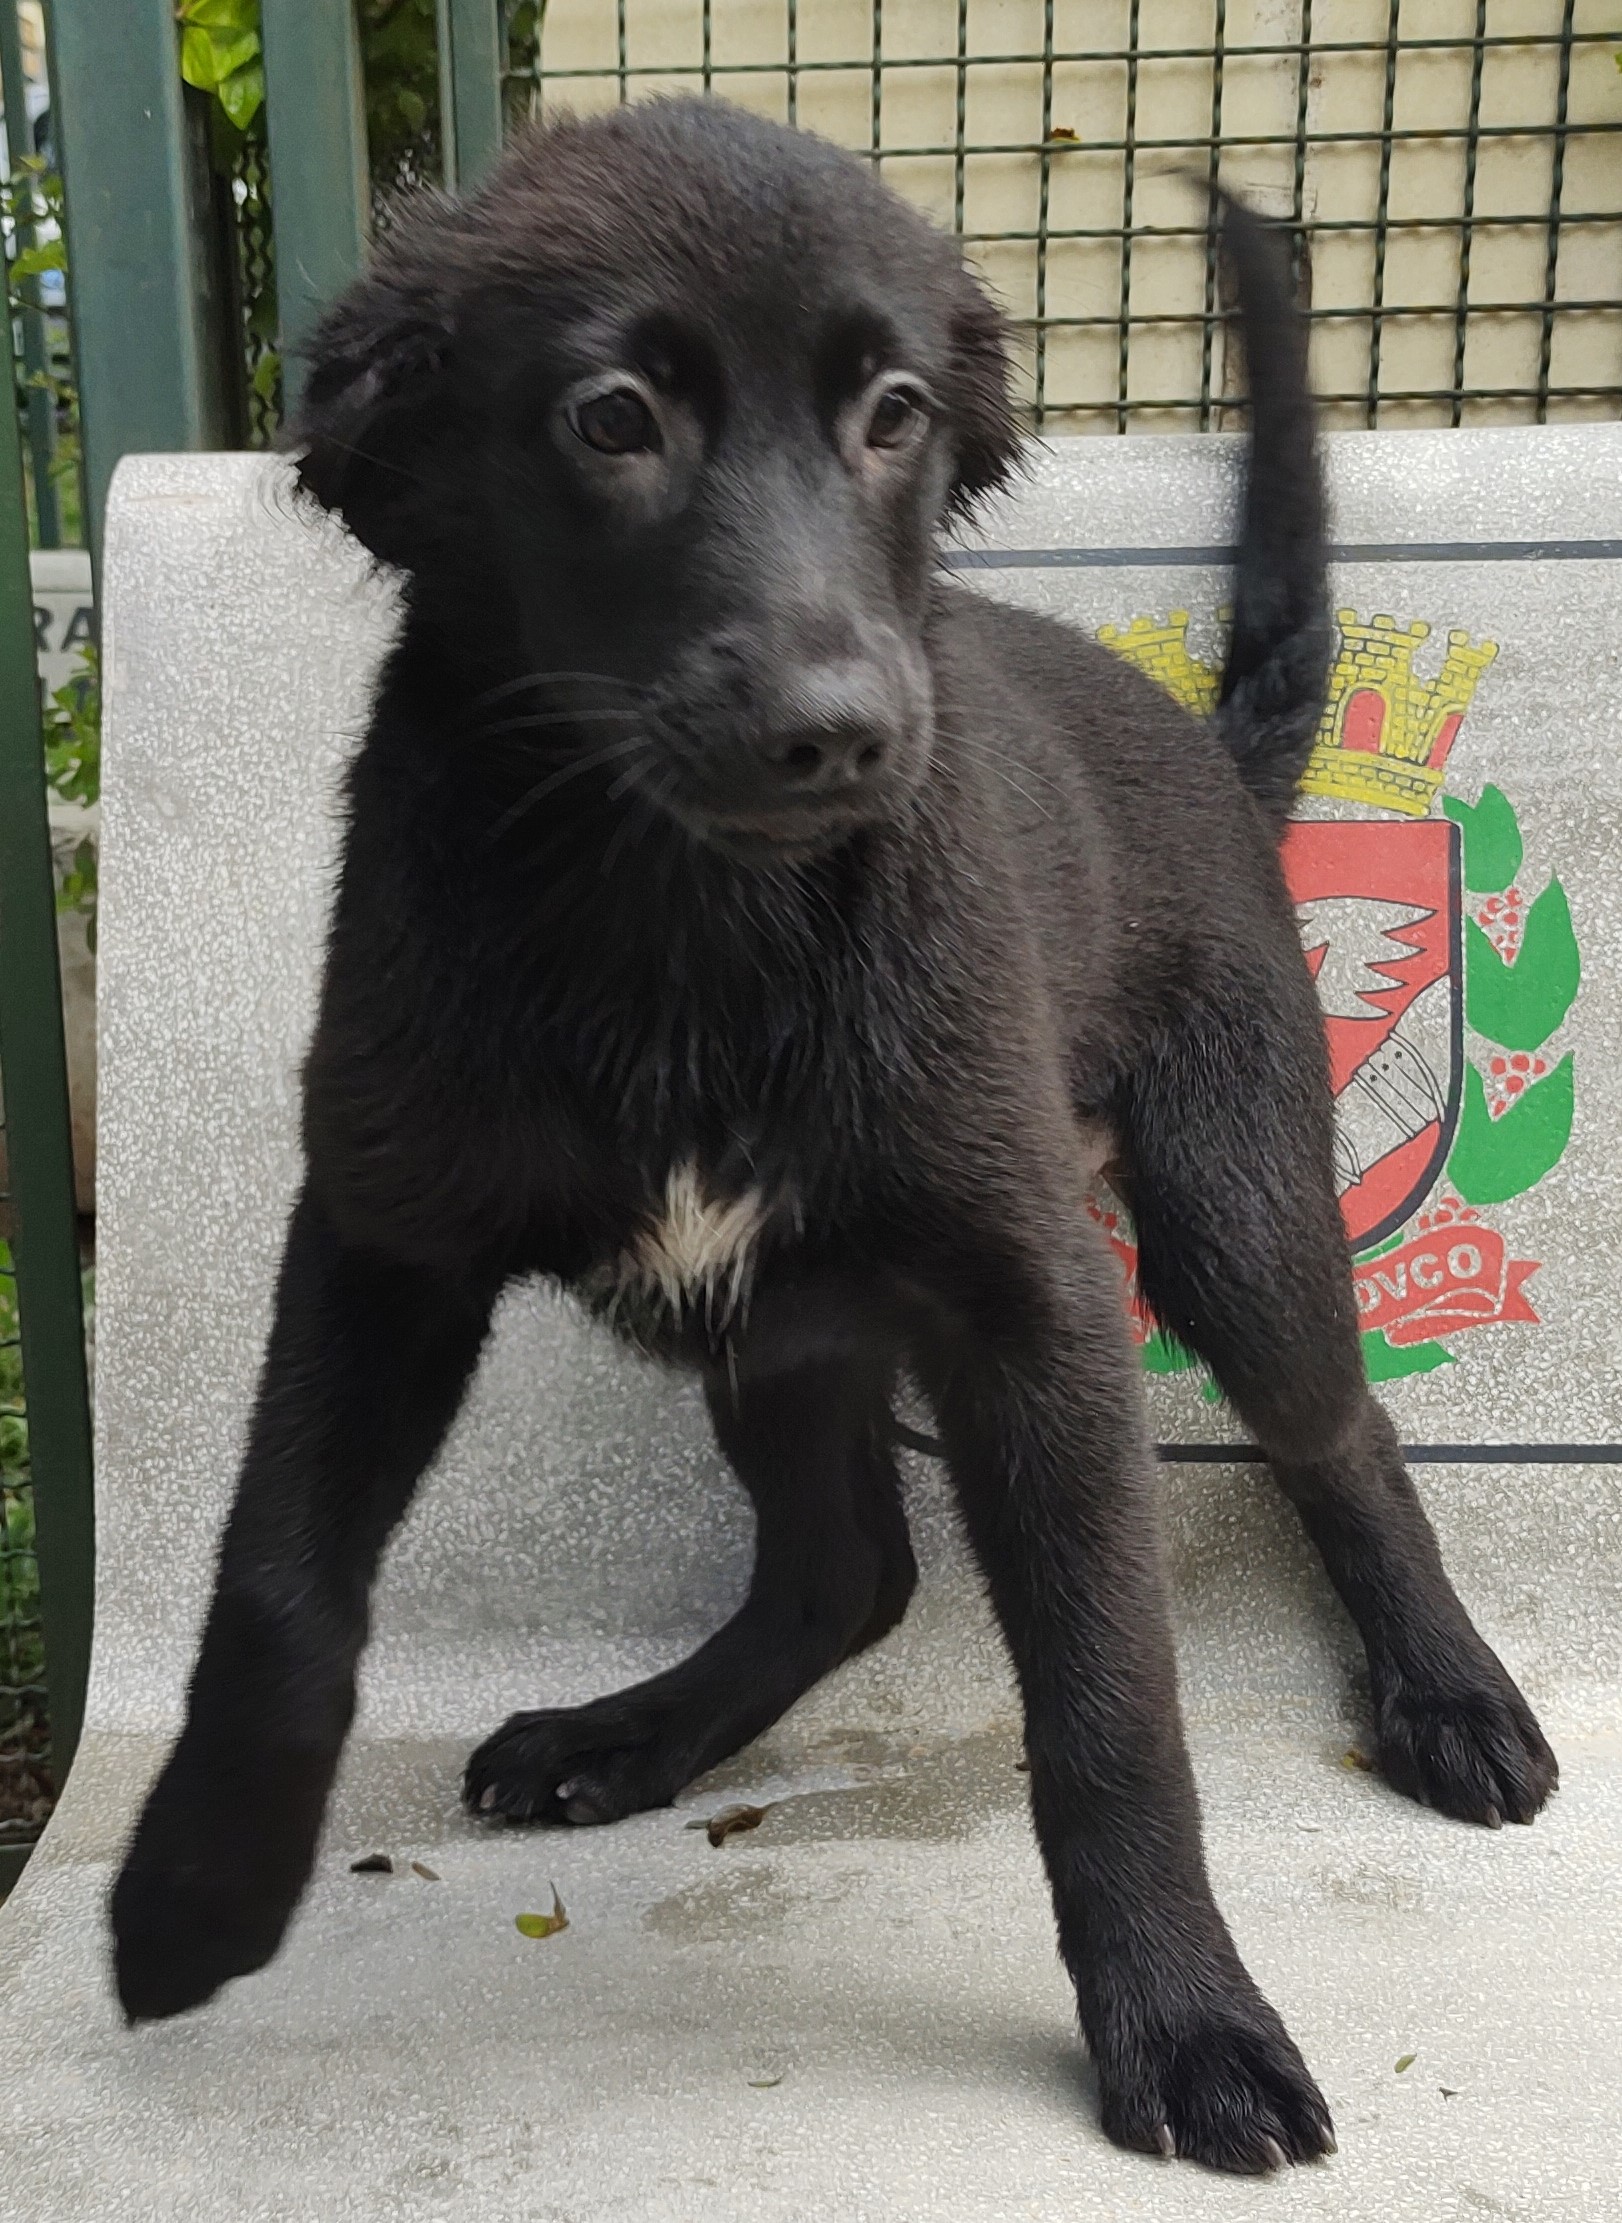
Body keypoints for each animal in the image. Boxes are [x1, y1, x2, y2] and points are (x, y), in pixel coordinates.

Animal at [113, 100, 1555, 2169]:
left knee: (1334, 1430)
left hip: (1225, 1201)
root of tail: (1206, 753)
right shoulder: (380, 1231)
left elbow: (1113, 1706)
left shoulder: (1035, 1300)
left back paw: (1445, 1690)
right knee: (843, 1565)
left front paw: (1187, 2016)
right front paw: (197, 1885)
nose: (847, 730)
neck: (683, 915)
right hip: (779, 1318)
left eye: (892, 415)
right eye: (610, 415)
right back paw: (626, 1734)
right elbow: (277, 1576)